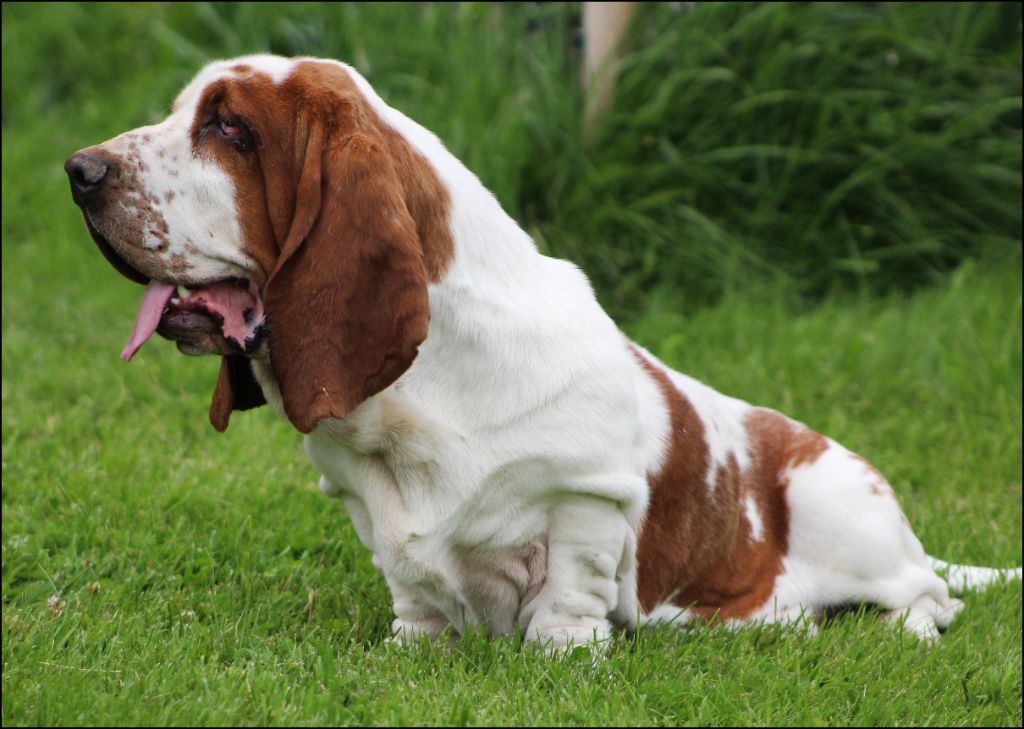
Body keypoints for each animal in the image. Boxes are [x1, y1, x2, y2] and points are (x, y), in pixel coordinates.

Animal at [68, 55, 1019, 651]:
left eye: (230, 130)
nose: (79, 170)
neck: (421, 397)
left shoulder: (590, 496)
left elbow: (570, 581)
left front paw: (565, 651)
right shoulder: (366, 504)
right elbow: (409, 583)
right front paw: (418, 642)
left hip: (839, 500)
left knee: (928, 597)